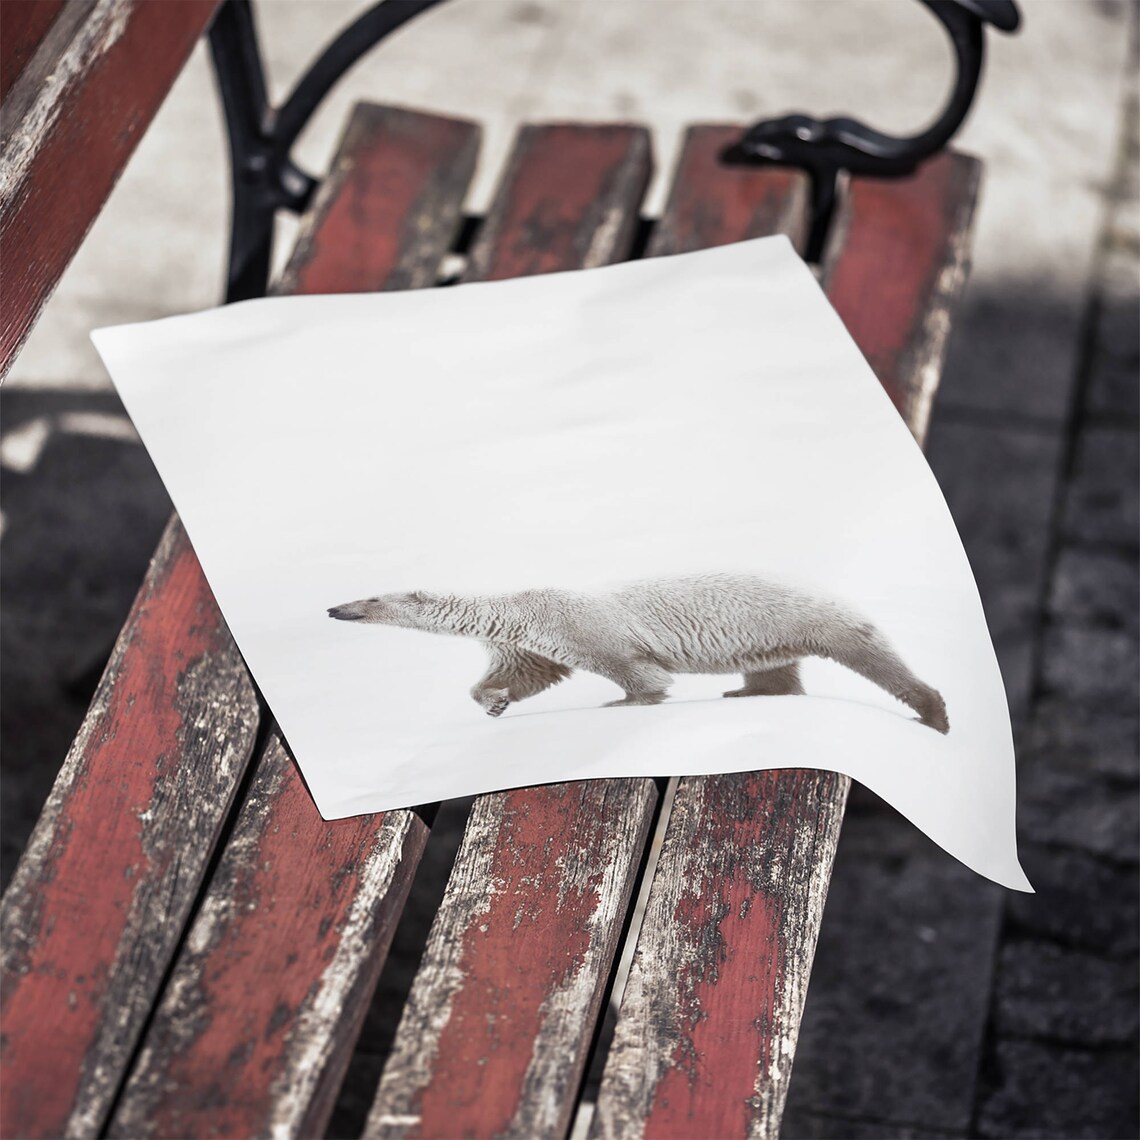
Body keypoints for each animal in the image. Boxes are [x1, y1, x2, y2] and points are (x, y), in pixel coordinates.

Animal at [328, 572, 949, 733]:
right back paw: (744, 691)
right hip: (773, 639)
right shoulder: (531, 642)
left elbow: (633, 670)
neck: (516, 606)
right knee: (774, 670)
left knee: (872, 655)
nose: (334, 609)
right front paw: (494, 701)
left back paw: (935, 713)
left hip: (813, 618)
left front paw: (627, 703)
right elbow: (524, 673)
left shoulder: (581, 625)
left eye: (370, 597)